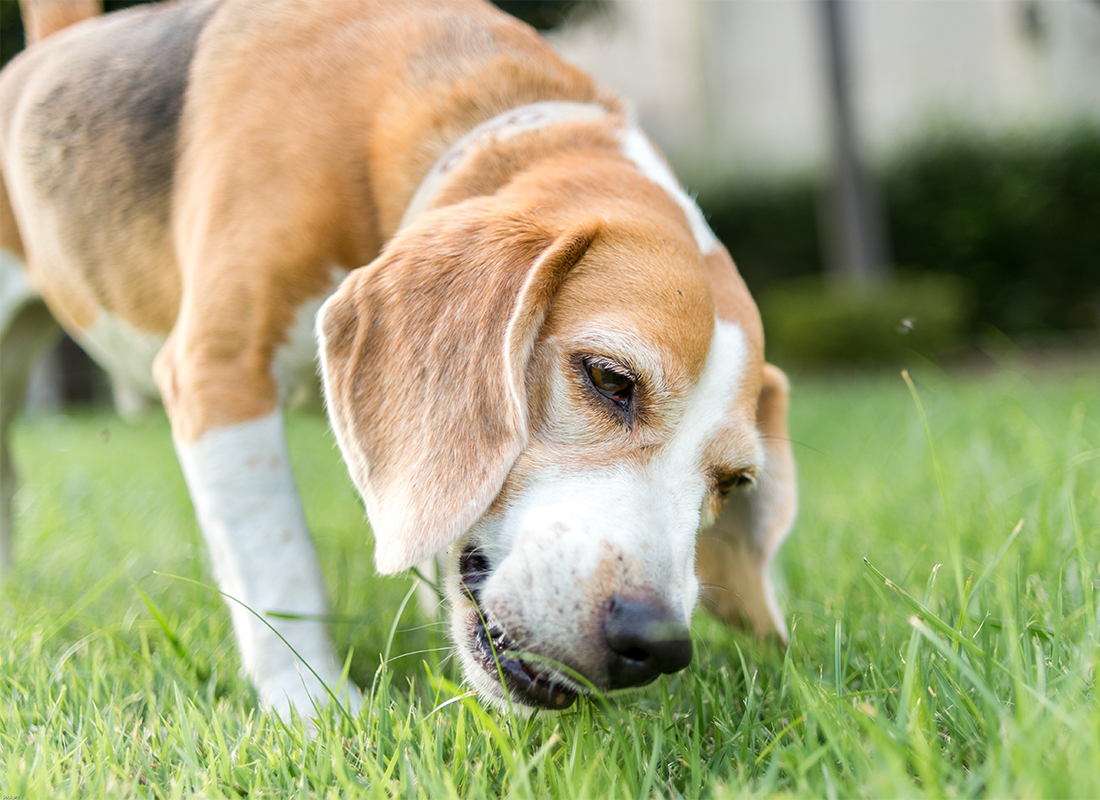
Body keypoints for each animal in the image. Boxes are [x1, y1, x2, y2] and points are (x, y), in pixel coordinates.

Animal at [0, 0, 796, 717]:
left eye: (733, 483)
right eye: (608, 378)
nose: (655, 644)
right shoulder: (219, 372)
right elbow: (278, 559)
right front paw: (313, 707)